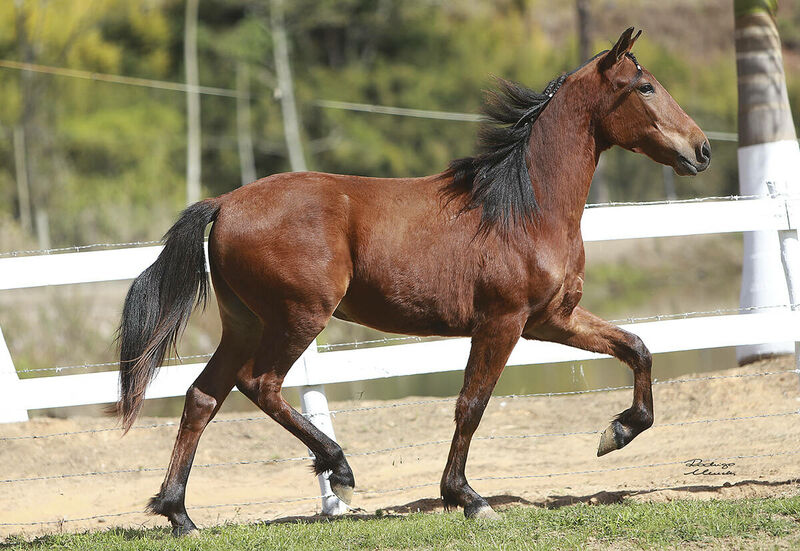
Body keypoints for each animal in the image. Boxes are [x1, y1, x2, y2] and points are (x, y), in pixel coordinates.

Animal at [115, 28, 708, 536]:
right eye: (646, 86)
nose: (701, 149)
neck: (522, 208)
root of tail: (224, 204)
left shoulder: (551, 320)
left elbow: (637, 347)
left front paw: (618, 431)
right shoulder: (503, 322)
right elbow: (472, 404)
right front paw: (468, 498)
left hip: (244, 323)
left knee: (202, 397)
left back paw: (180, 515)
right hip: (297, 318)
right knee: (259, 385)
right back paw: (339, 470)